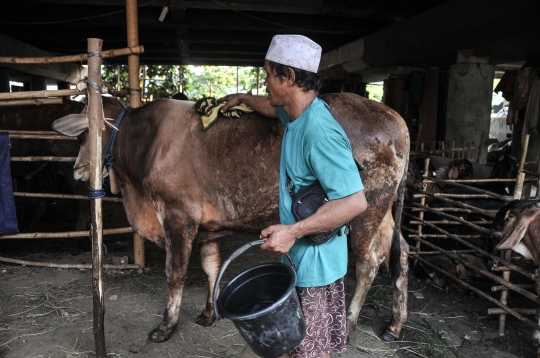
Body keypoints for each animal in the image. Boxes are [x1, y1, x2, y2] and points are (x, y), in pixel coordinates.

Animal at [52, 93, 412, 344]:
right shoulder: (208, 228)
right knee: (402, 254)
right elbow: (212, 267)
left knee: (369, 263)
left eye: (85, 136)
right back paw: (394, 326)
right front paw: (208, 313)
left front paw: (166, 326)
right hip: (385, 214)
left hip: (366, 212)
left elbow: (175, 273)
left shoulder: (177, 217)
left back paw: (349, 325)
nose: (77, 169)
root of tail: (396, 118)